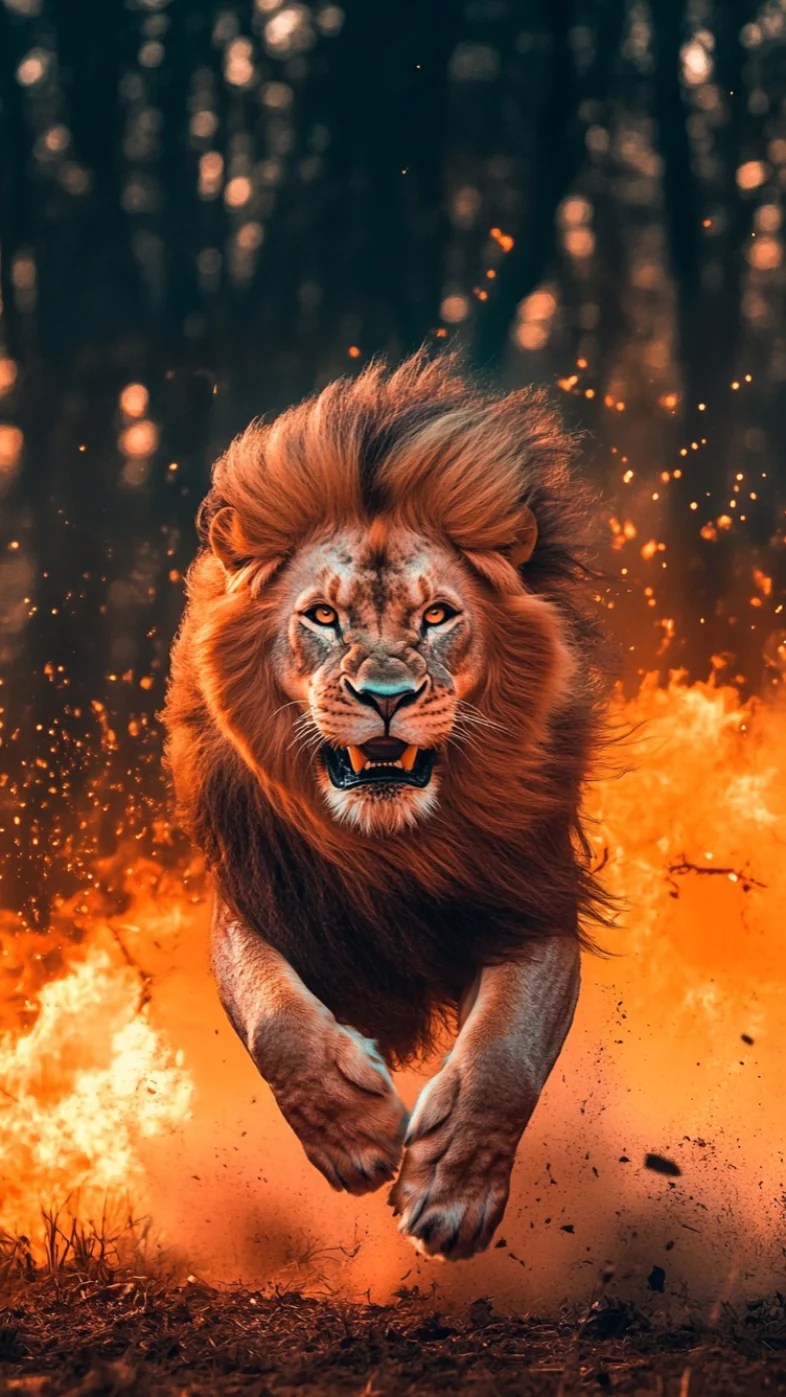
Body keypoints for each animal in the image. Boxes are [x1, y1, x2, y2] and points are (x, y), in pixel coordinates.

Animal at [163, 351, 609, 1262]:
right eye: (322, 616)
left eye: (437, 615)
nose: (386, 696)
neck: (391, 845)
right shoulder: (257, 899)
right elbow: (275, 1019)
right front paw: (357, 1131)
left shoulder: (534, 898)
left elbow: (507, 1051)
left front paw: (453, 1191)